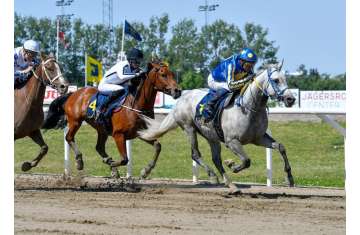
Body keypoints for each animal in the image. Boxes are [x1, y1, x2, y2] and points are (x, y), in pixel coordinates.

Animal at [42, 61, 181, 177]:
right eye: (163, 75)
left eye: (172, 74)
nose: (178, 91)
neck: (135, 105)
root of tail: (74, 93)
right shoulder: (118, 135)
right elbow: (124, 159)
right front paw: (113, 165)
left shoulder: (141, 133)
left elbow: (158, 146)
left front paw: (146, 171)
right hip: (75, 121)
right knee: (69, 137)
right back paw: (80, 161)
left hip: (101, 129)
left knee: (99, 147)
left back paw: (110, 164)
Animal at [138, 61, 296, 192]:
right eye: (276, 80)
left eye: (285, 79)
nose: (291, 99)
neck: (248, 108)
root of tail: (181, 98)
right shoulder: (232, 141)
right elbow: (246, 160)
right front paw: (232, 165)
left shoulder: (258, 138)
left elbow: (281, 147)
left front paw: (289, 178)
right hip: (189, 128)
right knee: (196, 154)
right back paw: (213, 176)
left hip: (211, 136)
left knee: (216, 159)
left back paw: (230, 184)